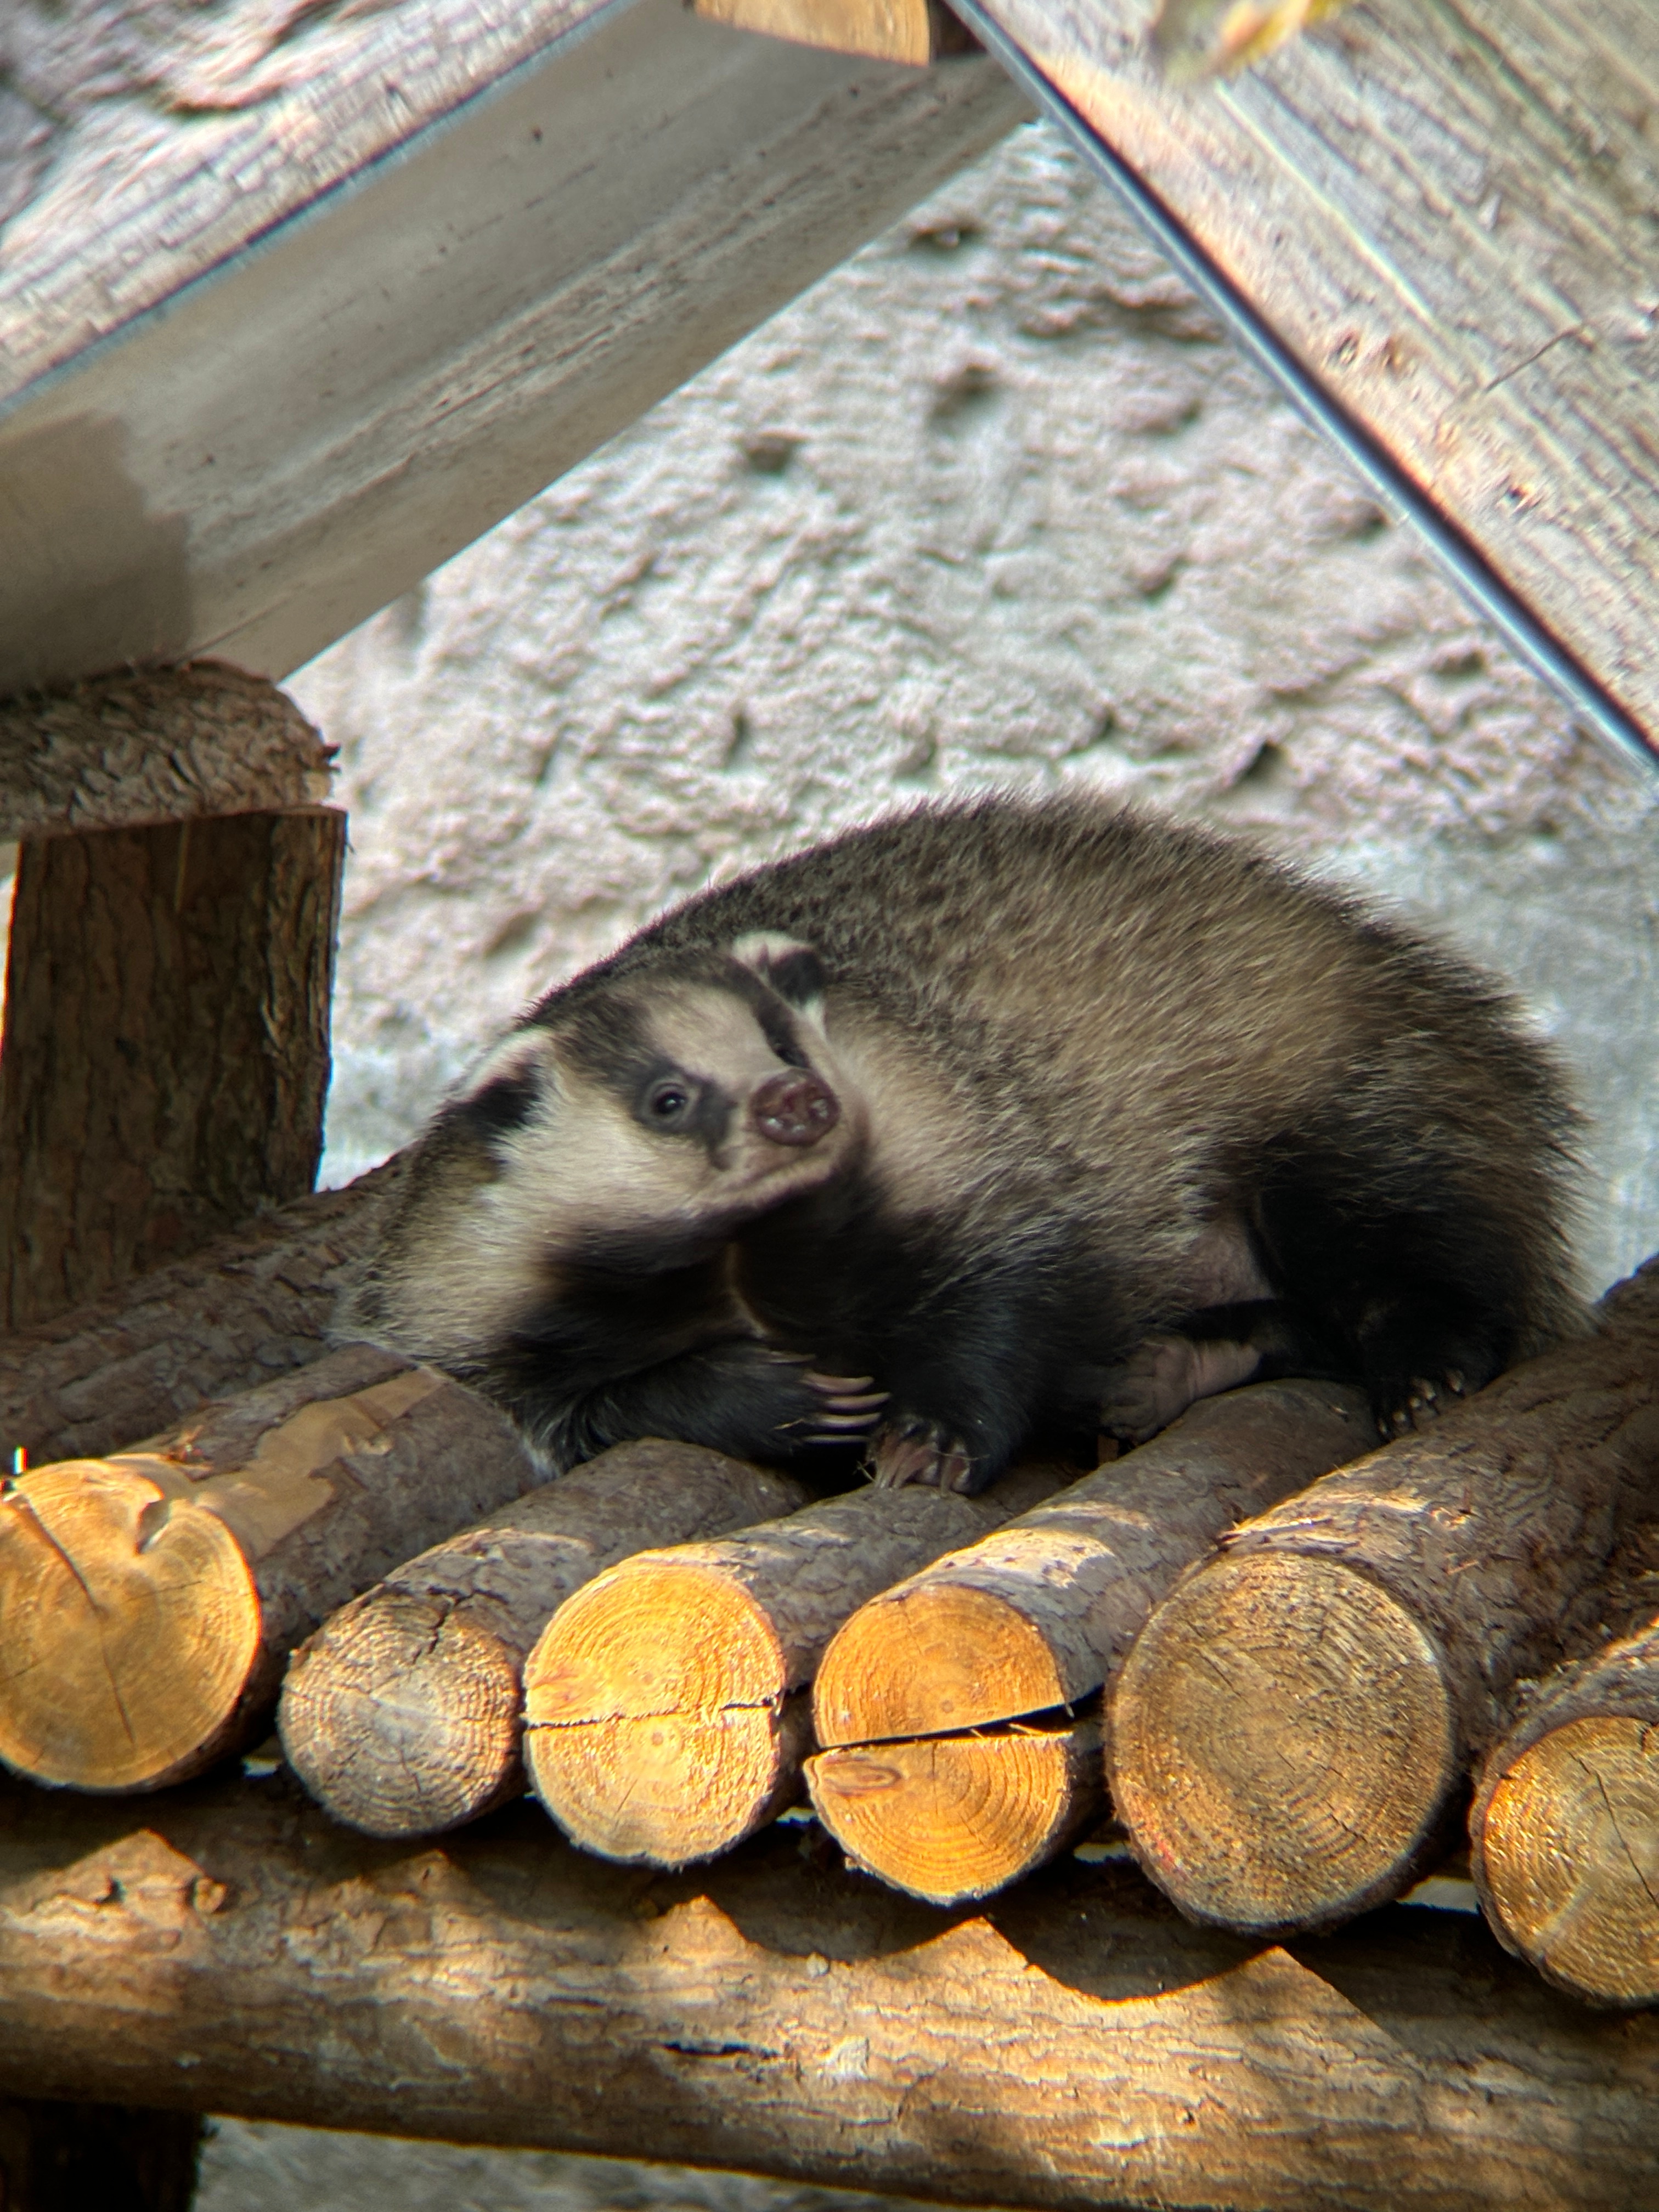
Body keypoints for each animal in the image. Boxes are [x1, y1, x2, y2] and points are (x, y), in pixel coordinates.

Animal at [344, 793, 1582, 1493]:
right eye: (667, 1099)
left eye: (784, 1040)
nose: (797, 1106)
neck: (760, 1256)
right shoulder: (479, 1302)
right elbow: (571, 1411)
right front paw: (782, 1396)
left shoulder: (966, 1132)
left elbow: (1006, 1285)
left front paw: (928, 1437)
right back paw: (1165, 1368)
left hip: (1336, 1068)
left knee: (1394, 1218)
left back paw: (1412, 1363)